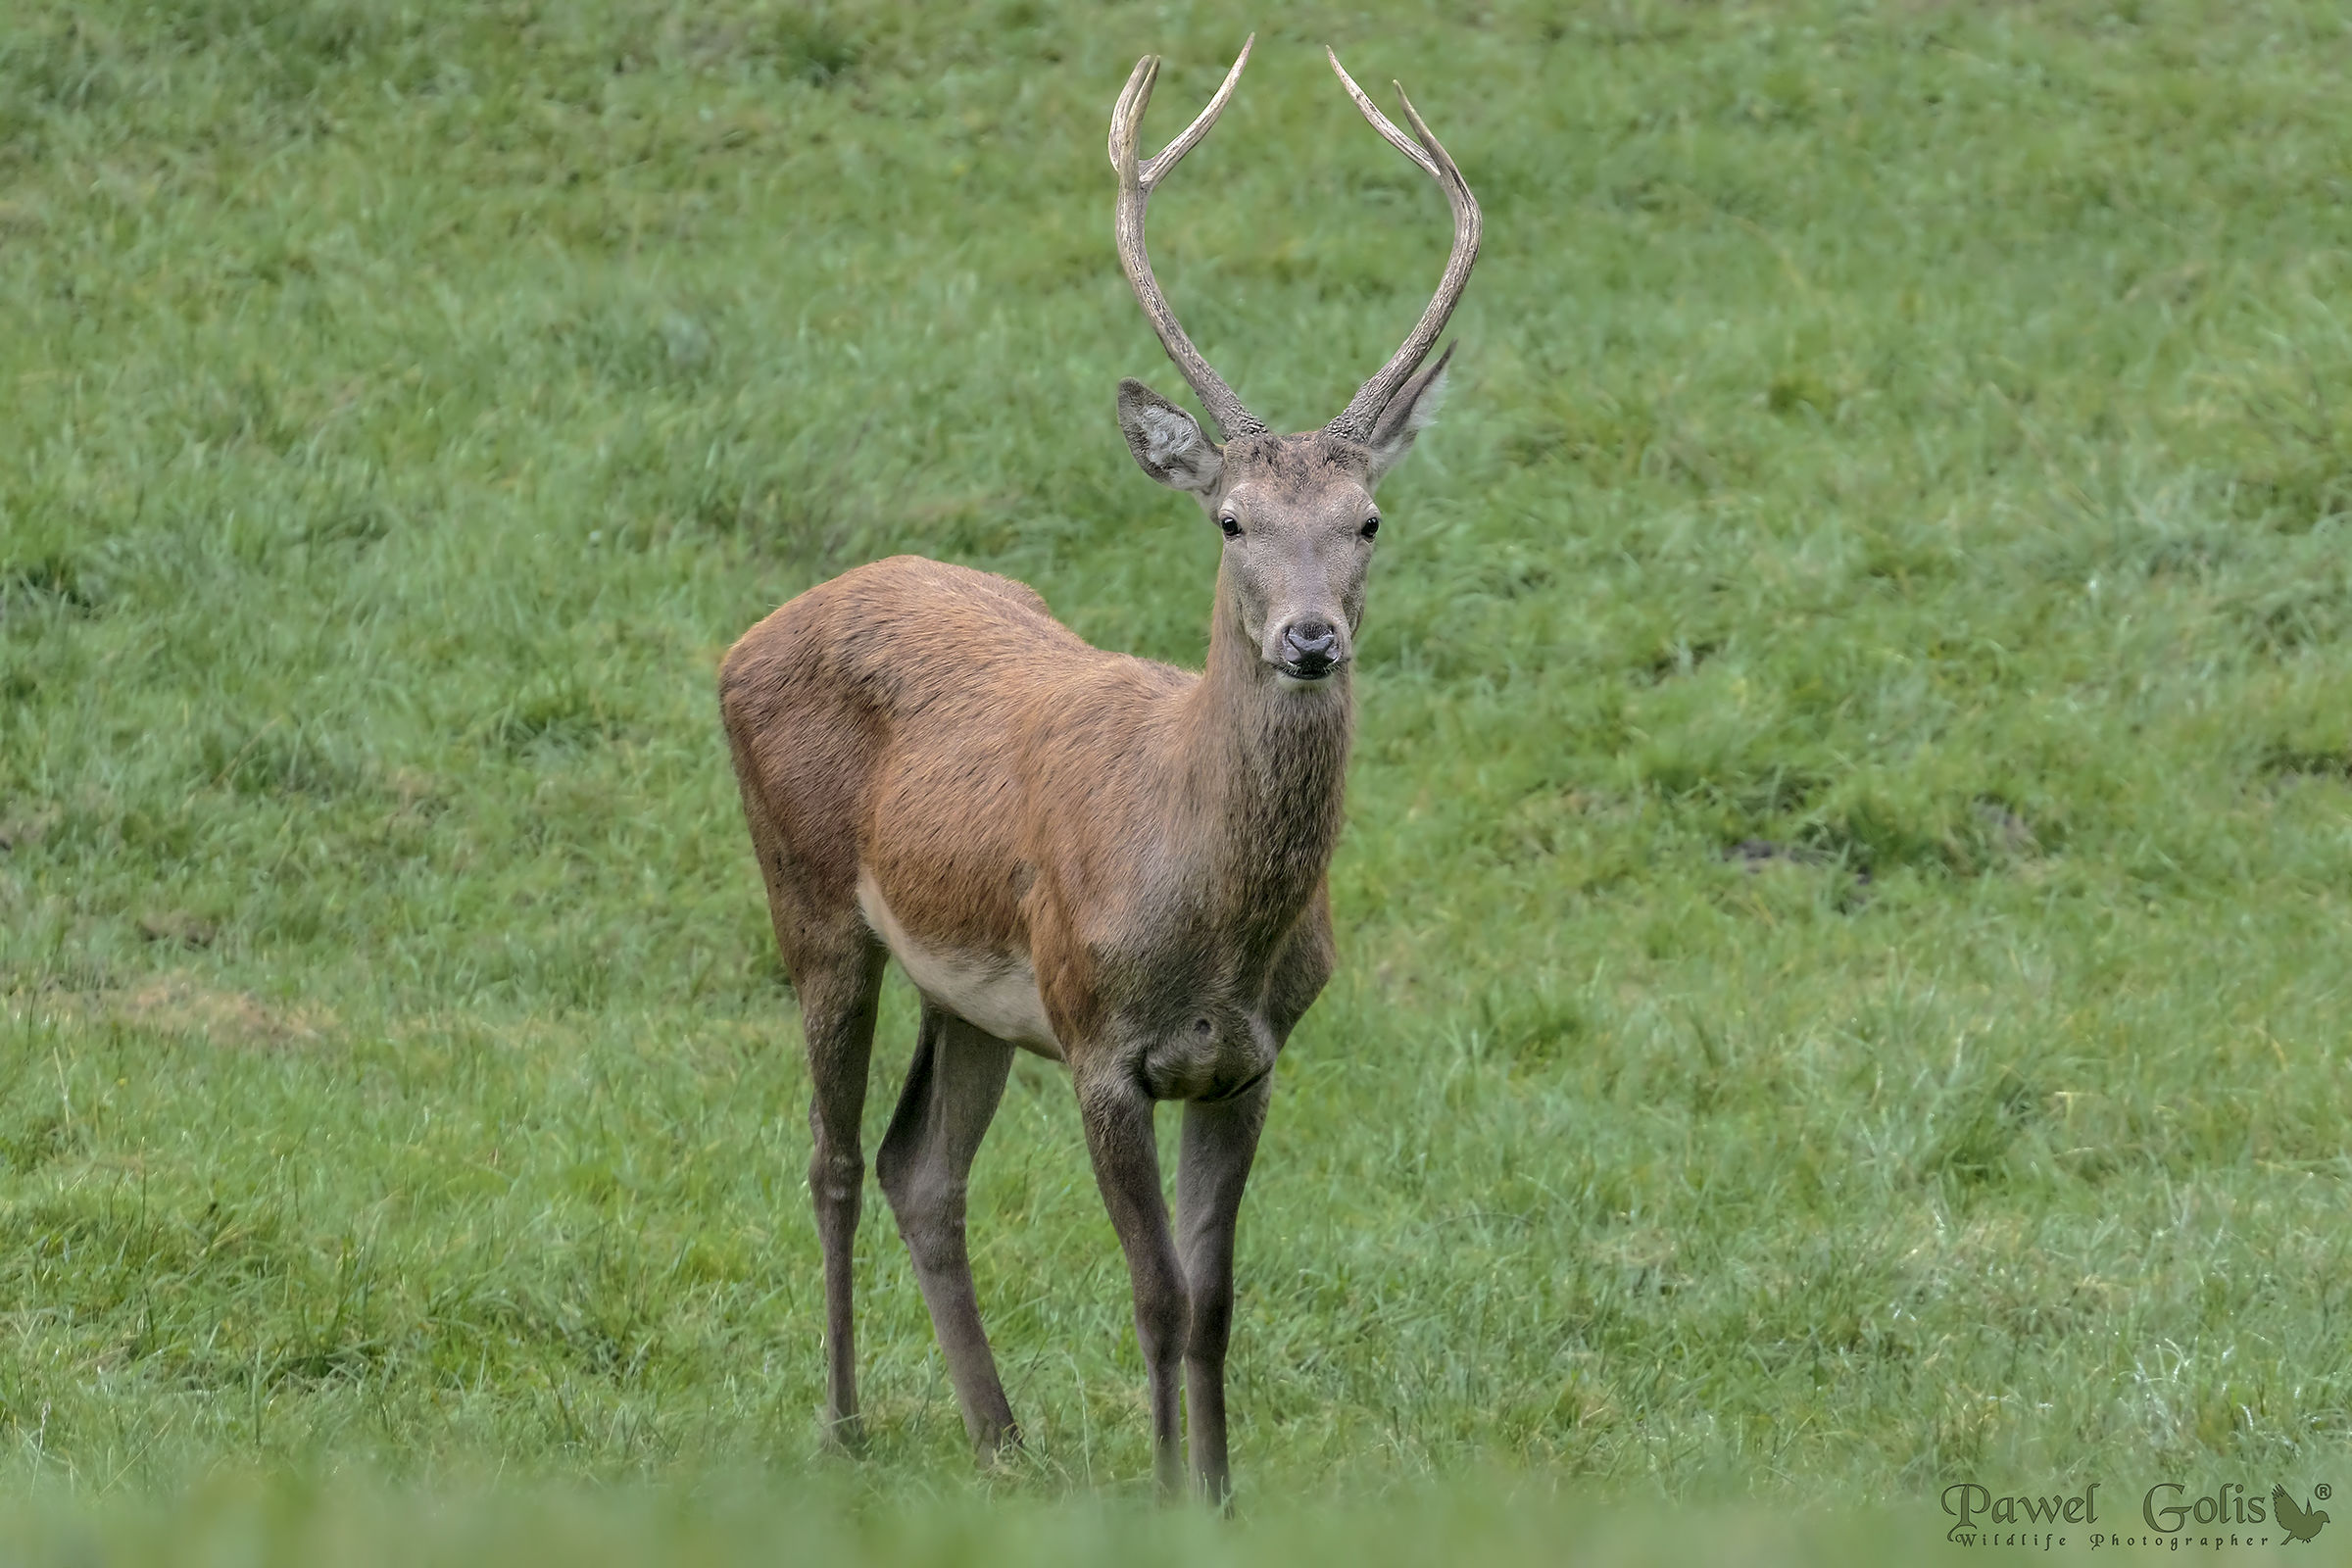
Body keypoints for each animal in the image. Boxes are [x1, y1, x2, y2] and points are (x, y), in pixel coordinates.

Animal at [717, 35, 1479, 1505]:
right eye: (1231, 518)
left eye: (1368, 519)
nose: (1311, 639)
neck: (1210, 919)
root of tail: (748, 634)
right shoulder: (1098, 1044)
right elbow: (1155, 1293)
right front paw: (1168, 1493)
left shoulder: (1249, 1060)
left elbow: (1218, 1298)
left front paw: (1222, 1497)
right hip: (812, 900)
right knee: (832, 1157)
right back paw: (844, 1422)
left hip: (968, 995)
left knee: (917, 1167)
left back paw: (1001, 1437)